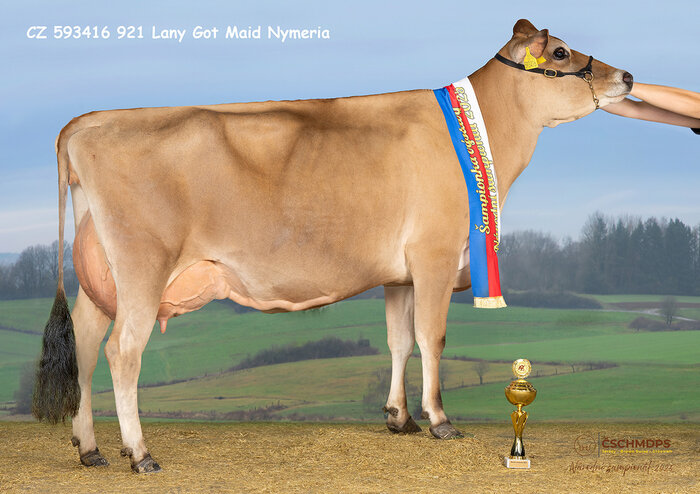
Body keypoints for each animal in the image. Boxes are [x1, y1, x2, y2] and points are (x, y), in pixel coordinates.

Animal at [33, 19, 632, 472]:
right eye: (561, 51)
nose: (626, 75)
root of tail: (84, 122)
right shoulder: (436, 255)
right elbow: (432, 337)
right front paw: (439, 421)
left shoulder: (400, 272)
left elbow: (399, 341)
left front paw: (399, 418)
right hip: (142, 265)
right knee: (122, 350)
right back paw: (139, 453)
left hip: (101, 274)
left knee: (85, 343)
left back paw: (89, 449)